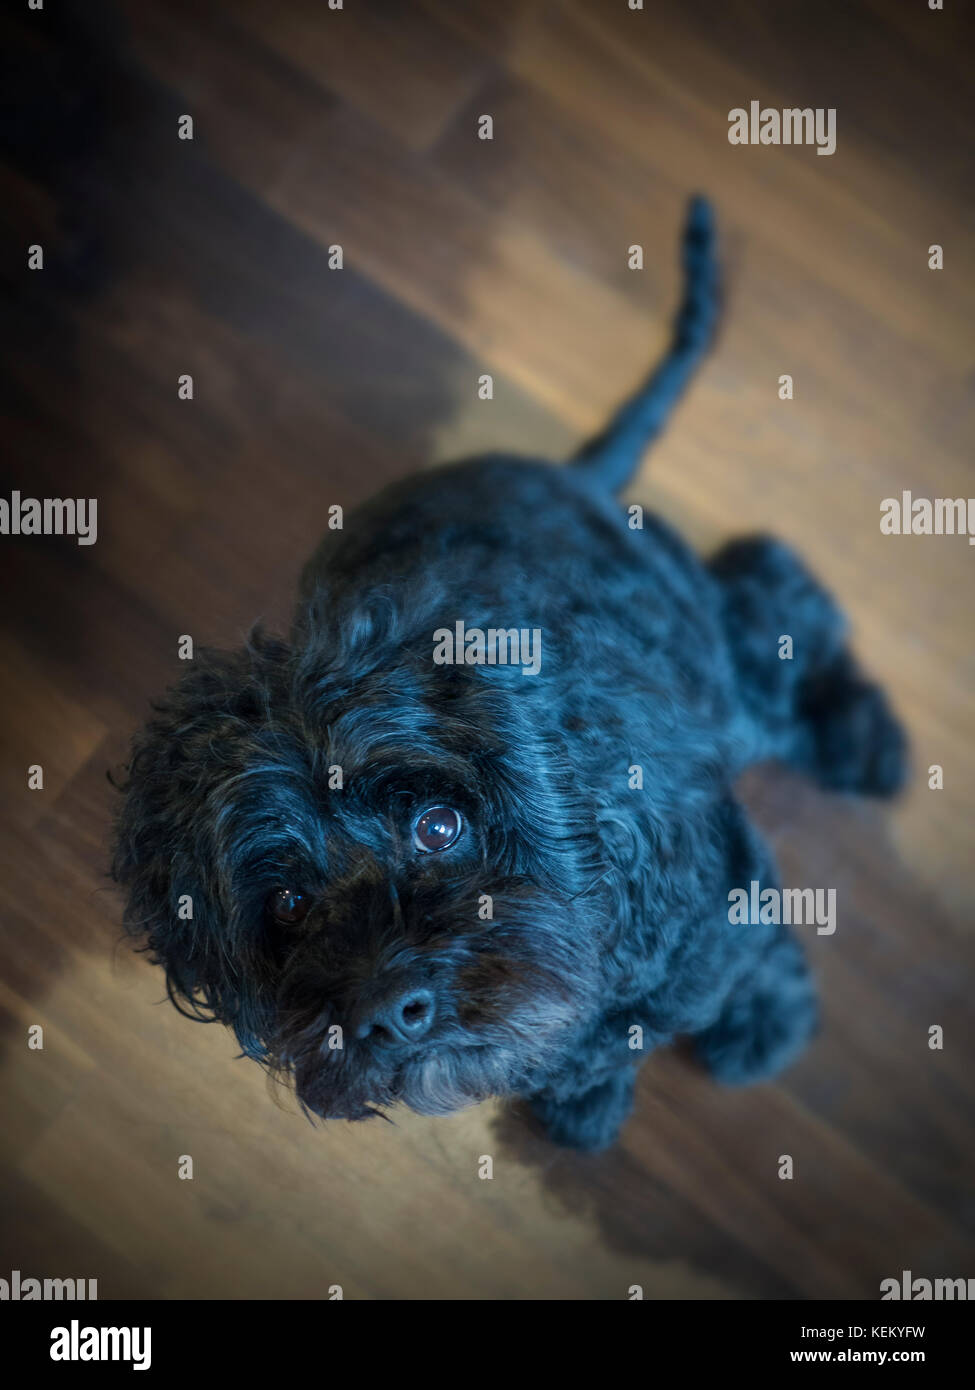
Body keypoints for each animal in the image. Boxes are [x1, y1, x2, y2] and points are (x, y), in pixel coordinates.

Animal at [114, 198, 906, 1150]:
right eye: (290, 903)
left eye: (439, 826)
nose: (388, 1011)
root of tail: (571, 477)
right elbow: (604, 1041)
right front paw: (582, 1092)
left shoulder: (716, 893)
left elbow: (717, 975)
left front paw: (761, 1019)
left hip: (720, 659)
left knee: (773, 591)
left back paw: (866, 747)